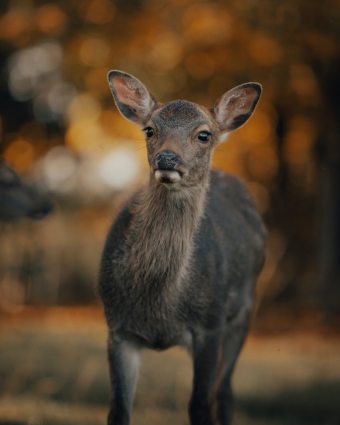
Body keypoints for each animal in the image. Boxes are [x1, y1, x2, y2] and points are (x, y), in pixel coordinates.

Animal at [98, 70, 266, 424]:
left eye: (204, 135)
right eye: (150, 129)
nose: (167, 158)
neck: (159, 307)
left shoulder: (210, 324)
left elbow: (199, 405)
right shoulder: (117, 327)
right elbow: (118, 409)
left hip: (245, 308)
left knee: (224, 391)